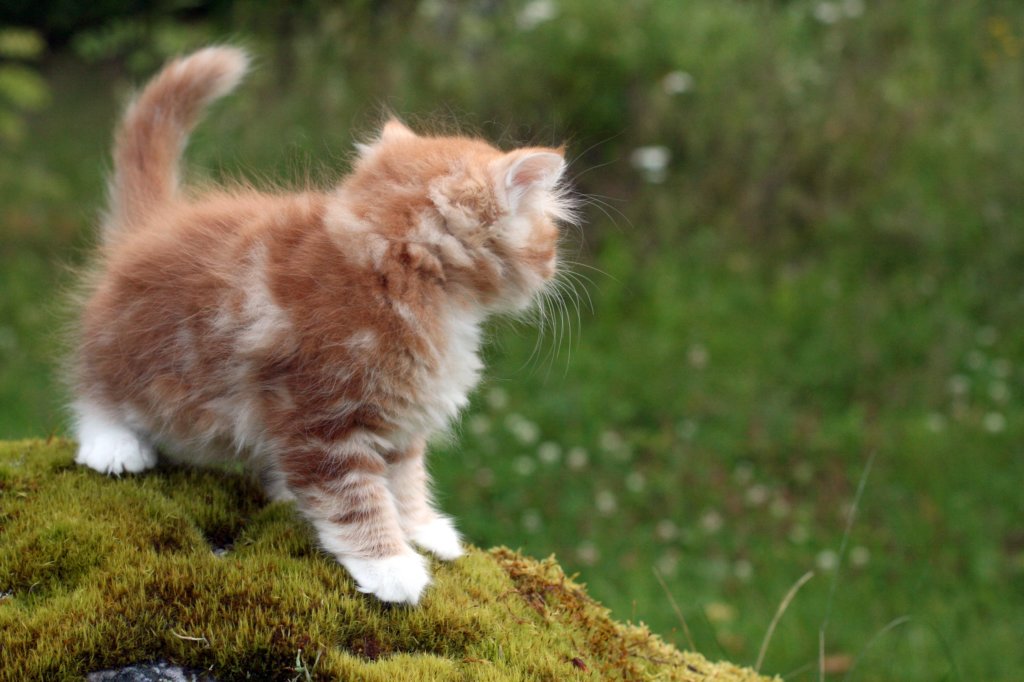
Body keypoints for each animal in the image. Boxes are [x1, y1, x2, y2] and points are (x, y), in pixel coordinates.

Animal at [68, 46, 575, 604]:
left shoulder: (400, 414)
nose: (555, 267)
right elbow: (355, 496)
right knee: (94, 384)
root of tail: (153, 224)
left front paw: (421, 528)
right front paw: (391, 564)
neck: (396, 273)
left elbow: (404, 478)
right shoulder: (319, 416)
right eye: (548, 237)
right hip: (136, 350)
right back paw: (112, 442)